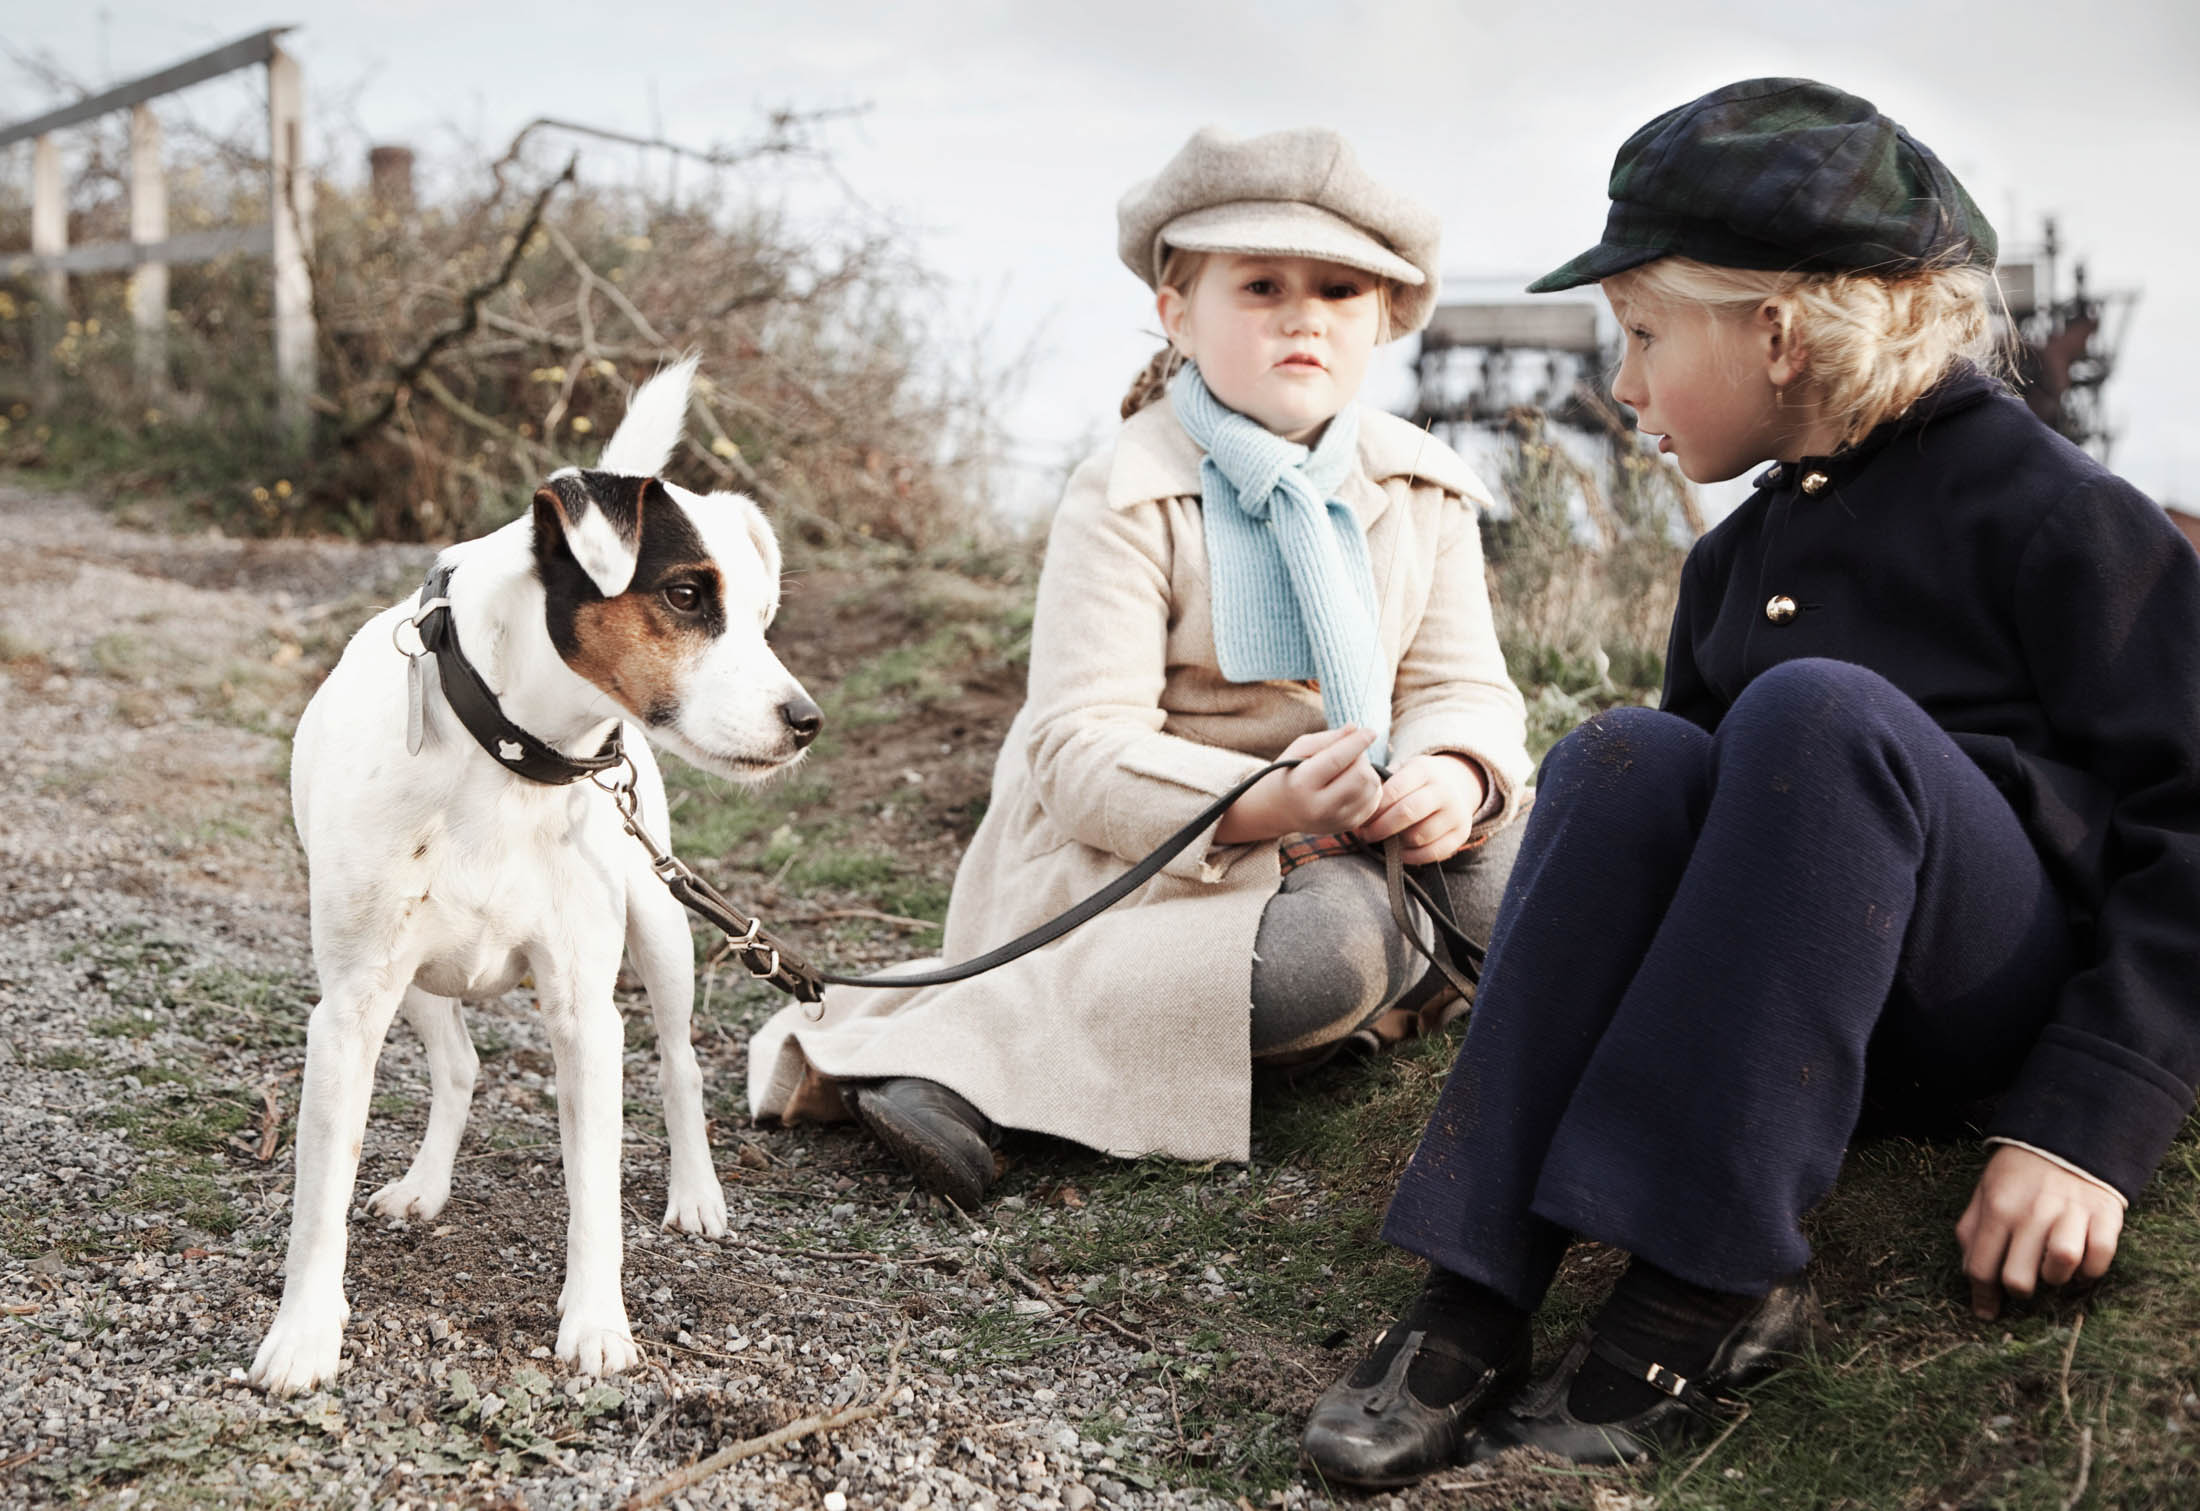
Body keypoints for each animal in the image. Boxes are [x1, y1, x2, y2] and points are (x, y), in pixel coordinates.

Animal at [249, 362, 818, 1398]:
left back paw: (697, 1192)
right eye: (685, 594)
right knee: (460, 1064)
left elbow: (595, 1192)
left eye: (763, 620)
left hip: (663, 927)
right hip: (413, 977)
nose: (806, 721)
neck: (513, 755)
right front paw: (304, 1333)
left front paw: (596, 1325)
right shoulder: (348, 1008)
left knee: (678, 1063)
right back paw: (426, 1184)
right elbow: (321, 1194)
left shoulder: (584, 1012)